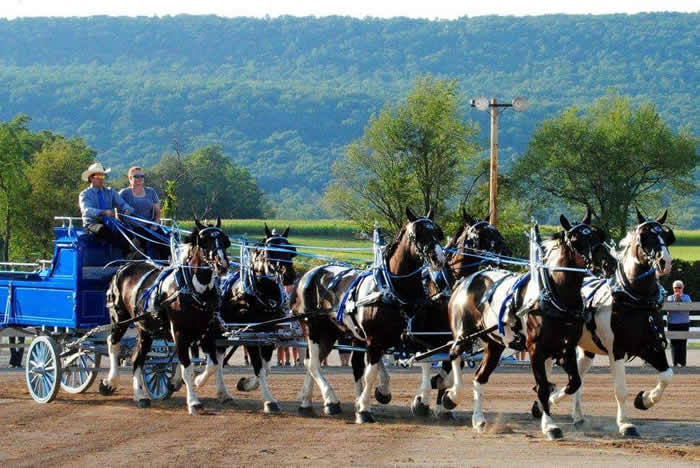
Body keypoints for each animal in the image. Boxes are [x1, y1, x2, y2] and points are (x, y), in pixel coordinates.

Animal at [100, 219, 231, 414]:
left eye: (224, 241)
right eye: (204, 241)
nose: (222, 265)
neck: (191, 290)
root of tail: (123, 267)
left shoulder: (206, 332)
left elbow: (213, 364)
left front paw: (199, 381)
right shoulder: (179, 334)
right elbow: (187, 369)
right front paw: (193, 402)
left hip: (145, 330)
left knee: (137, 359)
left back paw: (140, 396)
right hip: (119, 320)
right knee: (113, 344)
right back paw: (110, 381)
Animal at [217, 225, 296, 412]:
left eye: (291, 250)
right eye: (271, 252)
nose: (289, 275)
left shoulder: (268, 334)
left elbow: (265, 368)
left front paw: (246, 383)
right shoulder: (251, 335)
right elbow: (258, 367)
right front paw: (269, 401)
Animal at [292, 208, 446, 424]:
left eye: (437, 233)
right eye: (417, 234)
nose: (438, 258)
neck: (393, 291)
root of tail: (309, 274)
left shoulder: (413, 337)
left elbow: (425, 364)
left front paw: (420, 401)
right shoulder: (374, 340)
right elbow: (371, 373)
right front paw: (364, 409)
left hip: (331, 334)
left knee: (313, 363)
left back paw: (307, 403)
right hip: (313, 329)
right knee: (313, 364)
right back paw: (330, 400)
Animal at [442, 210, 596, 440]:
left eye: (597, 235)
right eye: (576, 240)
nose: (609, 261)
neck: (552, 295)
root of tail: (466, 280)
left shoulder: (566, 348)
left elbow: (573, 382)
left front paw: (550, 404)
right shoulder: (535, 349)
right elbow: (542, 387)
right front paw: (549, 425)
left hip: (495, 345)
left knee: (479, 378)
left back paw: (478, 420)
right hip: (464, 335)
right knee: (454, 355)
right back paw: (452, 396)